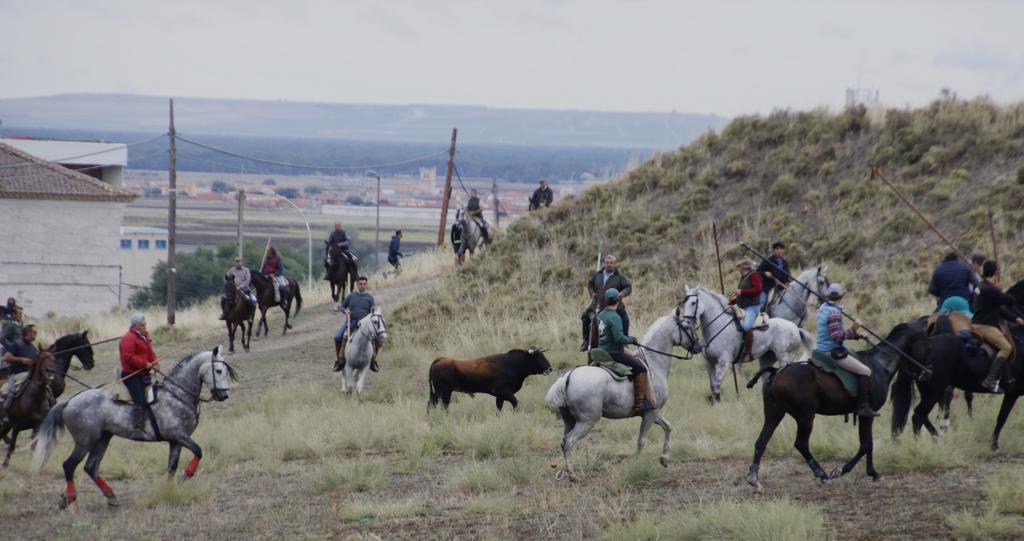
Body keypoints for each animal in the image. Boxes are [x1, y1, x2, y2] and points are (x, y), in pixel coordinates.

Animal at [32, 348, 235, 510]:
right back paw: (70, 498)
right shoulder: (179, 436)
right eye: (218, 370)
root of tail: (70, 401)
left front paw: (168, 490)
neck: (177, 395)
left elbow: (171, 467)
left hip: (103, 439)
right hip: (84, 442)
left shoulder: (175, 441)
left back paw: (111, 497)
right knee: (69, 465)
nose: (224, 396)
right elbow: (198, 451)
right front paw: (186, 475)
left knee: (91, 467)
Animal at [544, 307, 696, 479]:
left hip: (569, 420)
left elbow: (668, 427)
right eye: (687, 326)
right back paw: (573, 475)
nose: (699, 346)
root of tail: (568, 376)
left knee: (564, 441)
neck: (653, 363)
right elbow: (642, 440)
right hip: (587, 421)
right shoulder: (650, 413)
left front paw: (664, 458)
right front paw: (636, 465)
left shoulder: (652, 413)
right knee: (569, 442)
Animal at [679, 284, 815, 403]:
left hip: (784, 358)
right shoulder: (709, 363)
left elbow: (717, 384)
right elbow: (712, 384)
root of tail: (796, 328)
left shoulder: (724, 363)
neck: (717, 326)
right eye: (684, 303)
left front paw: (717, 402)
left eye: (693, 302)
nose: (686, 323)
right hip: (767, 358)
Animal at [745, 323, 937, 487]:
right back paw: (822, 474)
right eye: (928, 344)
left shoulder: (864, 416)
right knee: (801, 444)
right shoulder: (867, 415)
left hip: (774, 413)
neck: (880, 363)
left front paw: (870, 473)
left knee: (762, 441)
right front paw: (847, 471)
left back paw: (754, 478)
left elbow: (867, 444)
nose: (929, 372)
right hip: (805, 416)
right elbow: (866, 444)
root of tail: (777, 372)